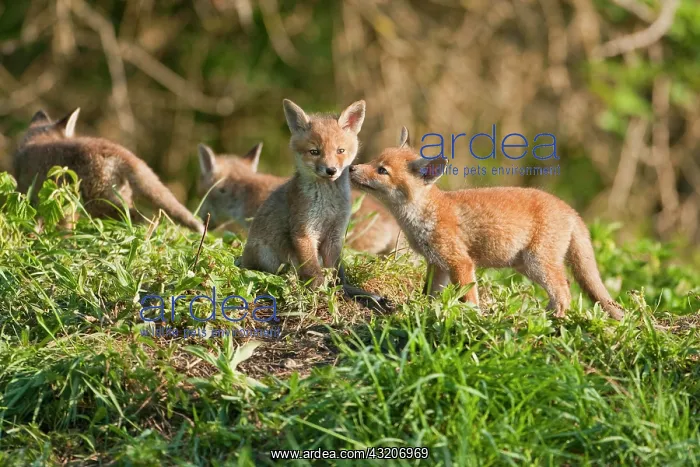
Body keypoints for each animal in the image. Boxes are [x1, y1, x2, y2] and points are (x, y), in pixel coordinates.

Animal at [13, 108, 204, 233]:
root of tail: (119, 150)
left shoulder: (31, 197)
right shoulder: (67, 208)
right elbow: (65, 228)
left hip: (99, 204)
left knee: (144, 219)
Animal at [239, 99, 391, 310]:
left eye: (340, 151)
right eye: (314, 152)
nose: (331, 170)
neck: (328, 206)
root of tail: (243, 260)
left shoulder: (335, 235)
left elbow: (335, 276)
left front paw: (342, 292)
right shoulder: (304, 232)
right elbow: (315, 273)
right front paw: (321, 295)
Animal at [348, 126, 625, 320]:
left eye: (382, 170)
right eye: (373, 161)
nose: (351, 168)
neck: (424, 215)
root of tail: (569, 209)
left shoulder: (460, 262)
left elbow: (469, 298)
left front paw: (472, 316)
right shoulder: (437, 264)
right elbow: (430, 294)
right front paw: (425, 309)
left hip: (538, 263)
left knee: (564, 291)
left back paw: (552, 319)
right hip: (526, 266)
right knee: (564, 288)